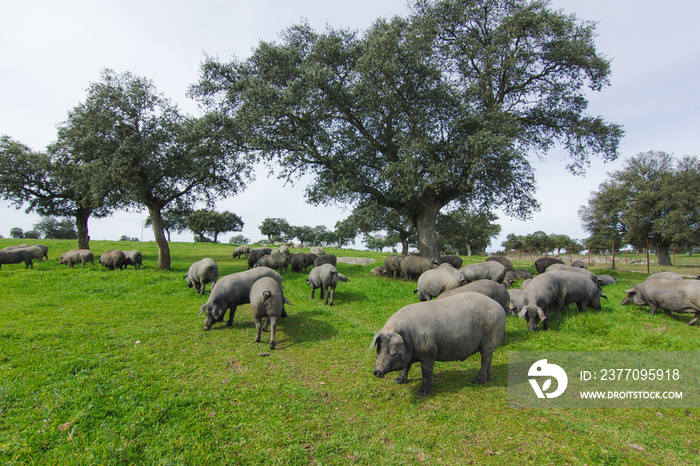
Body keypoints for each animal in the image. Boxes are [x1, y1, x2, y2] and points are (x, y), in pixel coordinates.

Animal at [370, 294, 506, 396]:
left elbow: (426, 372)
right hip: (489, 343)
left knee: (485, 359)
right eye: (379, 348)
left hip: (489, 338)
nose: (377, 371)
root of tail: (499, 307)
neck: (408, 336)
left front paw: (422, 393)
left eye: (392, 351)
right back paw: (489, 378)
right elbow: (407, 365)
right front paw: (398, 381)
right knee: (489, 357)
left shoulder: (429, 353)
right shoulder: (411, 352)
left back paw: (477, 381)